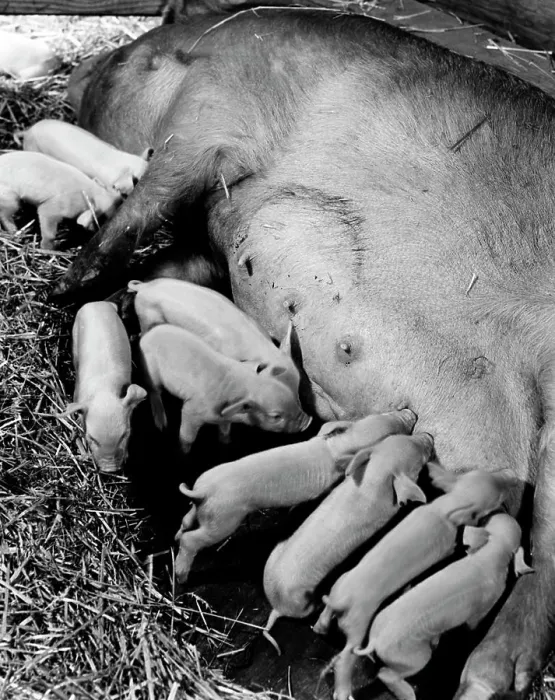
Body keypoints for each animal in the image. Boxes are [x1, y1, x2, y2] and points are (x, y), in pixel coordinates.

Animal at [139, 323, 311, 451]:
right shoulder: (191, 410)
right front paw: (183, 451)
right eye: (275, 416)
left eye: (292, 395)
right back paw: (161, 424)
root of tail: (146, 336)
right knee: (153, 391)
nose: (308, 421)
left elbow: (225, 430)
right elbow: (186, 437)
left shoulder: (225, 419)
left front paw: (226, 442)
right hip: (151, 370)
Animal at [174, 408, 417, 583]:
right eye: (391, 436)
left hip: (203, 507)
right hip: (224, 519)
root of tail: (203, 491)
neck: (335, 448)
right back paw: (181, 575)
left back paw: (177, 536)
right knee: (192, 540)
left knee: (186, 519)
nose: (411, 414)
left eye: (384, 414)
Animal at [262, 432, 433, 653]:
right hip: (303, 603)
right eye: (420, 461)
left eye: (402, 435)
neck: (373, 479)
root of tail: (276, 605)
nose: (428, 435)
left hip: (274, 553)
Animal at [314, 468, 514, 700]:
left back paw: (319, 627)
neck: (444, 506)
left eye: (492, 475)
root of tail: (342, 601)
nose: (510, 480)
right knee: (346, 658)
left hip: (339, 584)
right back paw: (345, 692)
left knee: (326, 613)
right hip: (358, 626)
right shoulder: (448, 545)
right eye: (498, 497)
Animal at [354, 513, 532, 700]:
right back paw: (409, 694)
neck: (492, 552)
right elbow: (474, 624)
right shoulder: (483, 608)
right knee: (386, 674)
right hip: (412, 657)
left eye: (486, 521)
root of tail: (374, 640)